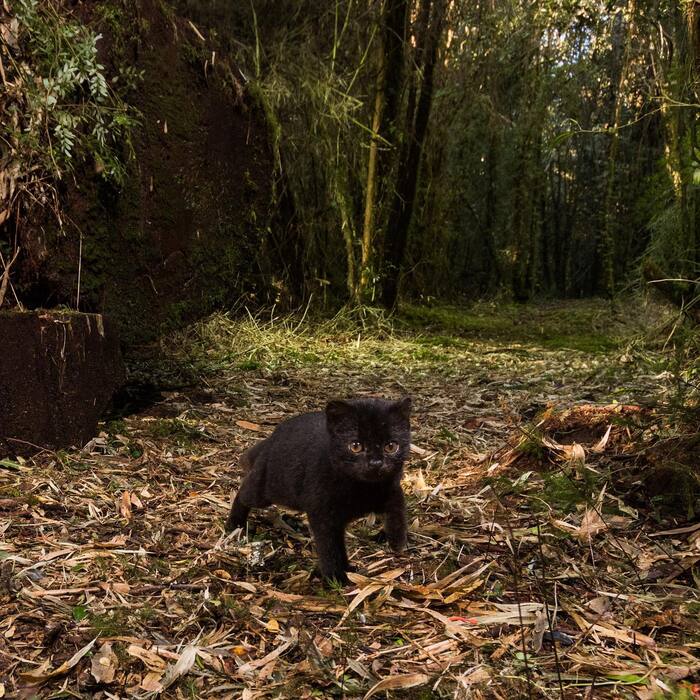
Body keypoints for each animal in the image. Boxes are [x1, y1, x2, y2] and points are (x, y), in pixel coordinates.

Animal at [224, 396, 412, 584]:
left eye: (391, 446)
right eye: (356, 446)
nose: (376, 463)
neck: (364, 489)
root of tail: (272, 437)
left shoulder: (391, 488)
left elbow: (398, 508)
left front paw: (397, 541)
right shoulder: (323, 515)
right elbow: (329, 549)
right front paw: (336, 578)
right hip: (265, 490)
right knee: (243, 493)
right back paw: (234, 524)